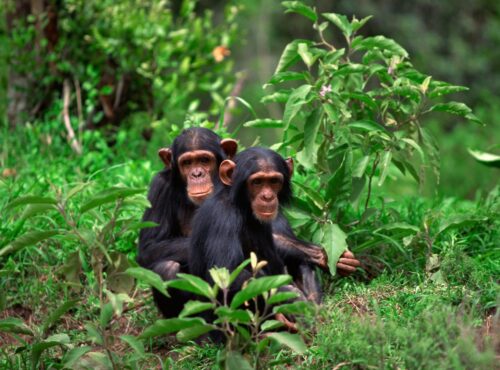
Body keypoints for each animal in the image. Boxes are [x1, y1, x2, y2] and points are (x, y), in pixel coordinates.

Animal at [137, 125, 238, 316]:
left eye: (204, 160)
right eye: (187, 163)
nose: (197, 174)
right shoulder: (159, 187)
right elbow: (150, 246)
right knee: (166, 269)